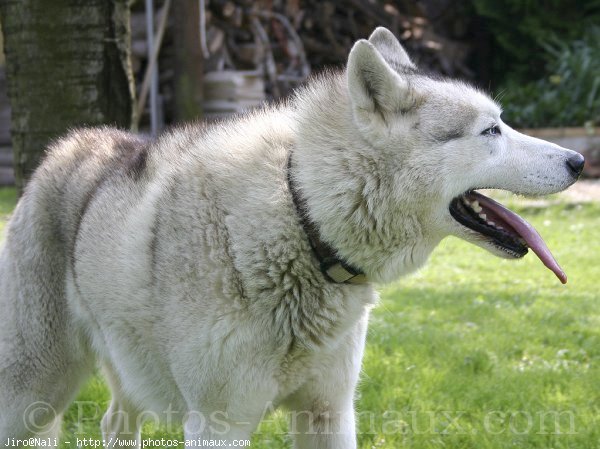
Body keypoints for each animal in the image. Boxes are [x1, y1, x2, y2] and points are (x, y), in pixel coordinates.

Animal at [0, 26, 580, 446]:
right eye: (491, 132)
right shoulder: (217, 426)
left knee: (113, 426)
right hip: (31, 395)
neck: (303, 221)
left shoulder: (330, 414)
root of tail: (63, 147)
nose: (578, 160)